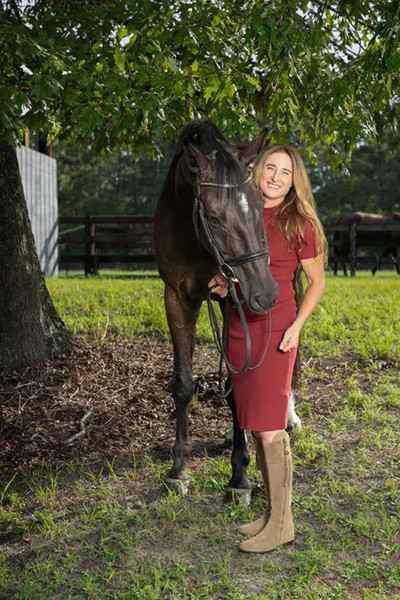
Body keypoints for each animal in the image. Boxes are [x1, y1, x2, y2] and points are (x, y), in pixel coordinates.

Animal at [154, 120, 278, 502]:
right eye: (213, 216)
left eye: (259, 204)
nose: (266, 293)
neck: (194, 241)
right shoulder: (177, 298)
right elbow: (182, 383)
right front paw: (178, 469)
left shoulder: (232, 300)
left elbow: (236, 384)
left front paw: (239, 475)